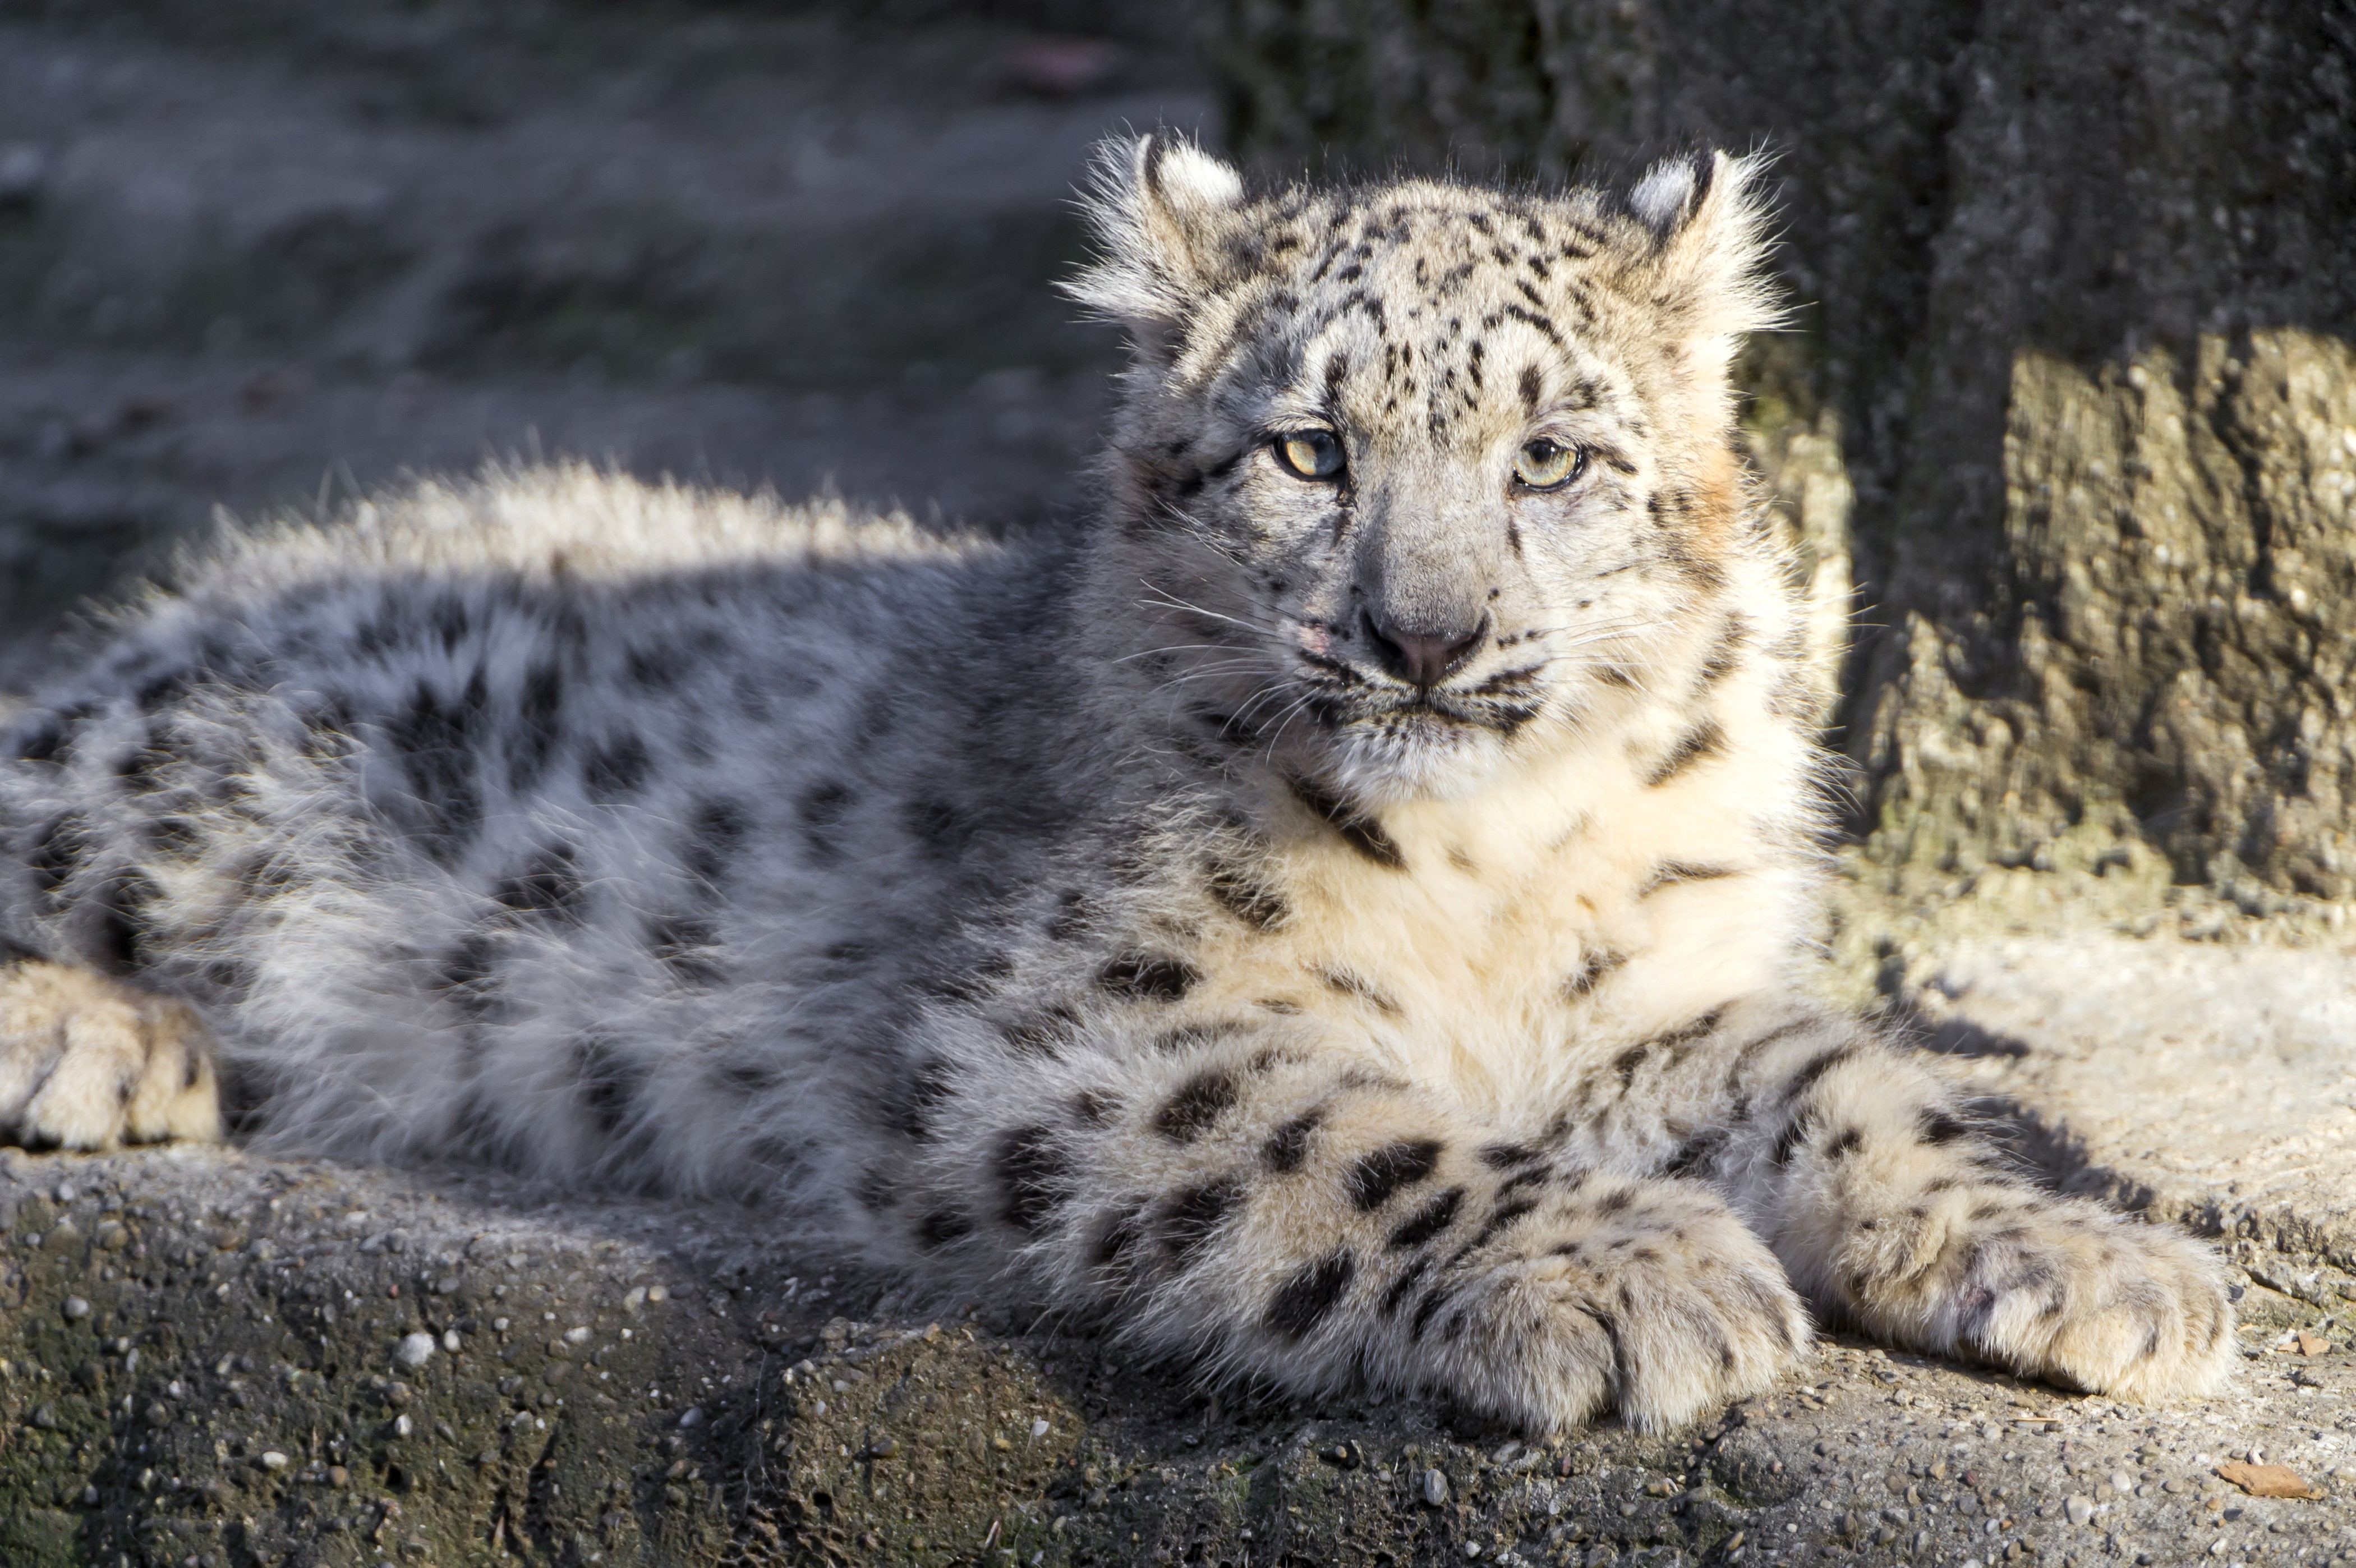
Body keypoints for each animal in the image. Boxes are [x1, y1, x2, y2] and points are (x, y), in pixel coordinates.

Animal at [0, 136, 2233, 1435]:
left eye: (1548, 458)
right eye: (1309, 450)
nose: (1423, 637)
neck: (1500, 870)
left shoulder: (1654, 1002)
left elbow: (1846, 1079)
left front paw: (2084, 1260)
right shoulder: (1072, 1023)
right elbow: (1351, 1142)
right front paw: (1639, 1277)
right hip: (178, 779)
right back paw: (98, 1041)